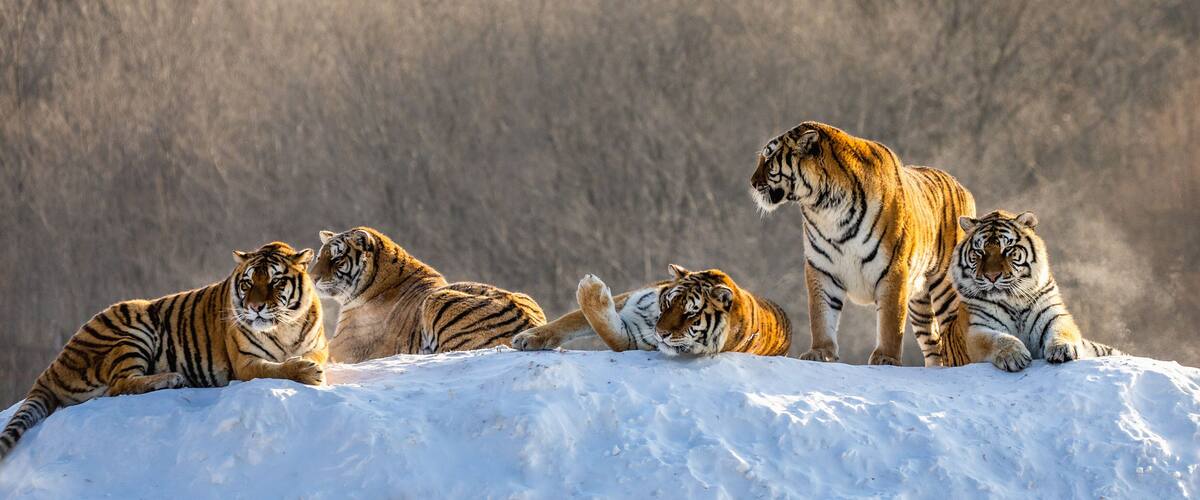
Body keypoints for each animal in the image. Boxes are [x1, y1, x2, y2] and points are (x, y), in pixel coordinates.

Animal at [0, 242, 327, 461]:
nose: (255, 307)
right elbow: (277, 368)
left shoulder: (319, 347)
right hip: (133, 324)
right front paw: (306, 371)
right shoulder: (245, 364)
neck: (282, 327)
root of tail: (52, 368)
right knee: (119, 385)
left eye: (275, 281)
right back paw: (171, 378)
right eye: (247, 284)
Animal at [512, 265, 791, 356]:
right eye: (668, 303)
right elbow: (570, 319)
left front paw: (590, 288)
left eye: (690, 314)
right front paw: (528, 338)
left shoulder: (633, 340)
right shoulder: (631, 298)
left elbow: (607, 331)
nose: (661, 333)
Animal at [750, 121, 976, 366]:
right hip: (919, 301)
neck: (825, 207)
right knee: (933, 342)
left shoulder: (893, 269)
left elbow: (890, 322)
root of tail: (963, 188)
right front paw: (820, 352)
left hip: (946, 287)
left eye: (769, 158)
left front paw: (885, 358)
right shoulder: (821, 268)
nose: (752, 182)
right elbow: (821, 315)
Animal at [937, 210, 1124, 371]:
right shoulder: (977, 328)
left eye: (1007, 249)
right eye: (980, 251)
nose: (992, 276)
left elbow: (1061, 330)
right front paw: (1014, 356)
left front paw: (1062, 349)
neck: (1013, 300)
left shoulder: (1053, 315)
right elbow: (998, 338)